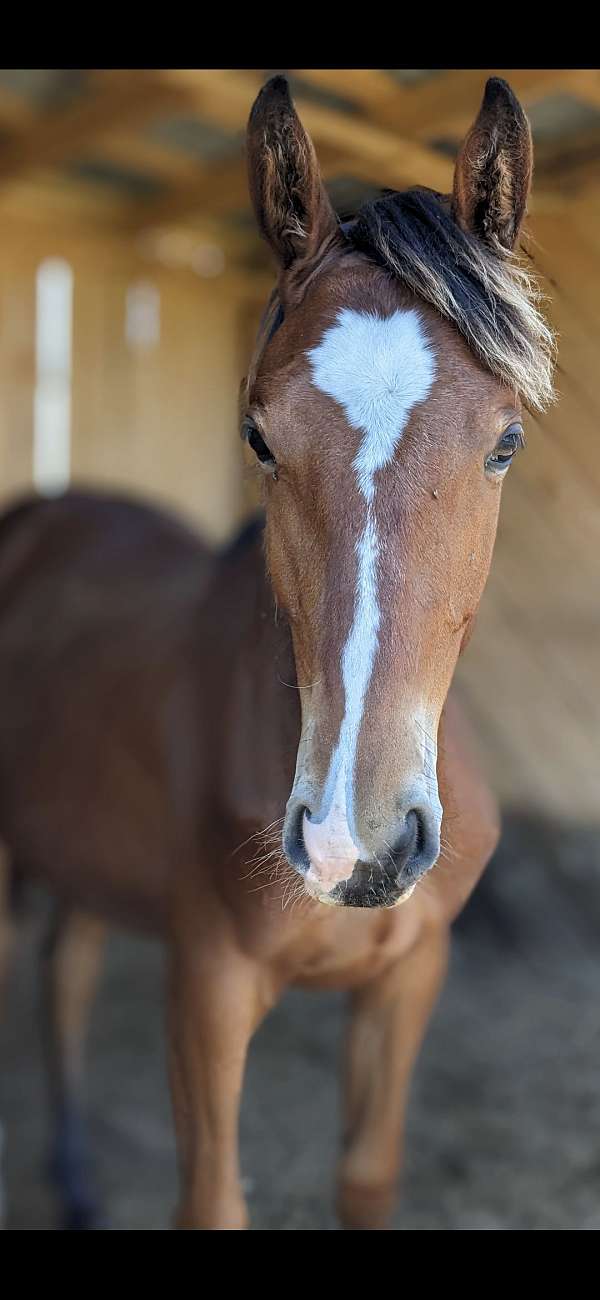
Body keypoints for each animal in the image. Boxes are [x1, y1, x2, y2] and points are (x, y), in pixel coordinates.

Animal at [0, 73, 553, 1227]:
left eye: (506, 440)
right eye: (259, 436)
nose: (358, 844)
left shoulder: (408, 980)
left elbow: (368, 1175)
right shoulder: (206, 986)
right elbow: (213, 1196)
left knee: (67, 973)